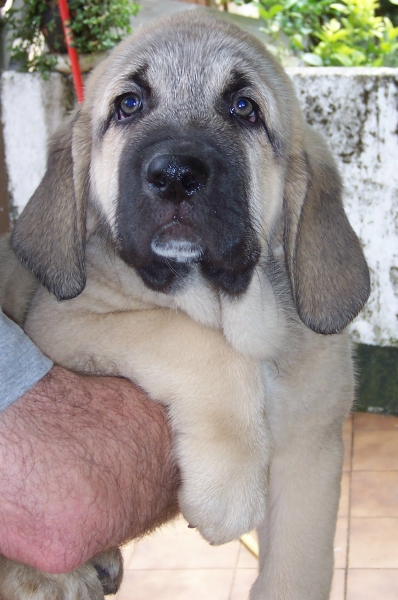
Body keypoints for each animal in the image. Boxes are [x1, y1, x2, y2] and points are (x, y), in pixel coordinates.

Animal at [0, 9, 370, 600]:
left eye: (243, 107)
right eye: (129, 104)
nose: (175, 175)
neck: (221, 300)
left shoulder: (311, 452)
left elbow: (298, 572)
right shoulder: (65, 321)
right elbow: (190, 341)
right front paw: (228, 486)